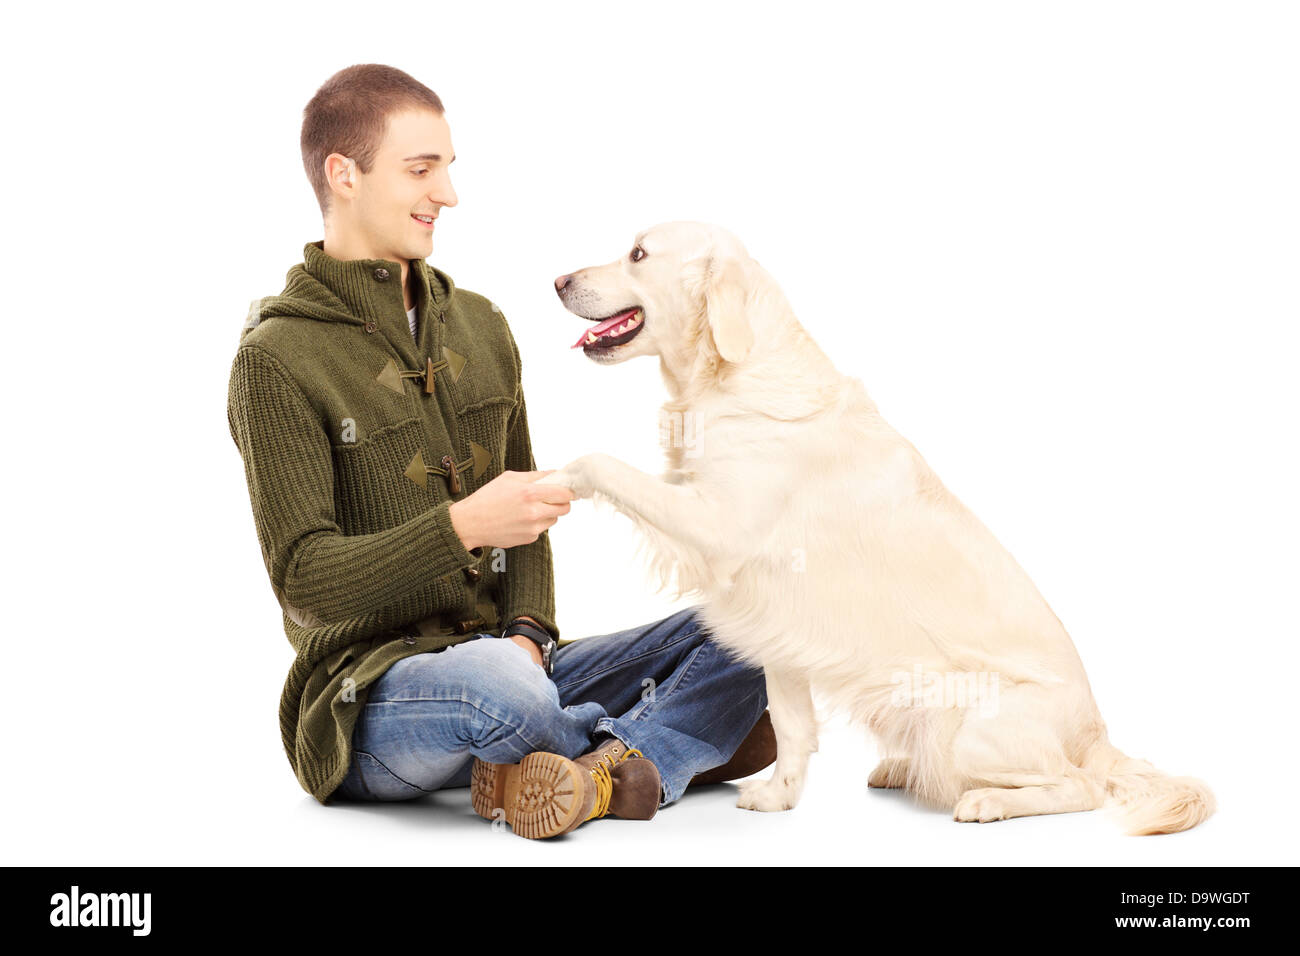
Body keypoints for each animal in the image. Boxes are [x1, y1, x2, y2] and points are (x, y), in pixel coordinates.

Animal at [538, 223, 1216, 837]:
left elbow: (601, 461)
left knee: (1078, 786)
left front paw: (554, 479)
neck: (727, 375)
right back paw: (901, 770)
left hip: (972, 725)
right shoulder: (773, 616)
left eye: (638, 254)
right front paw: (779, 796)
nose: (558, 280)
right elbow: (792, 723)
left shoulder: (720, 527)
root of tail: (1096, 735)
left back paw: (987, 802)